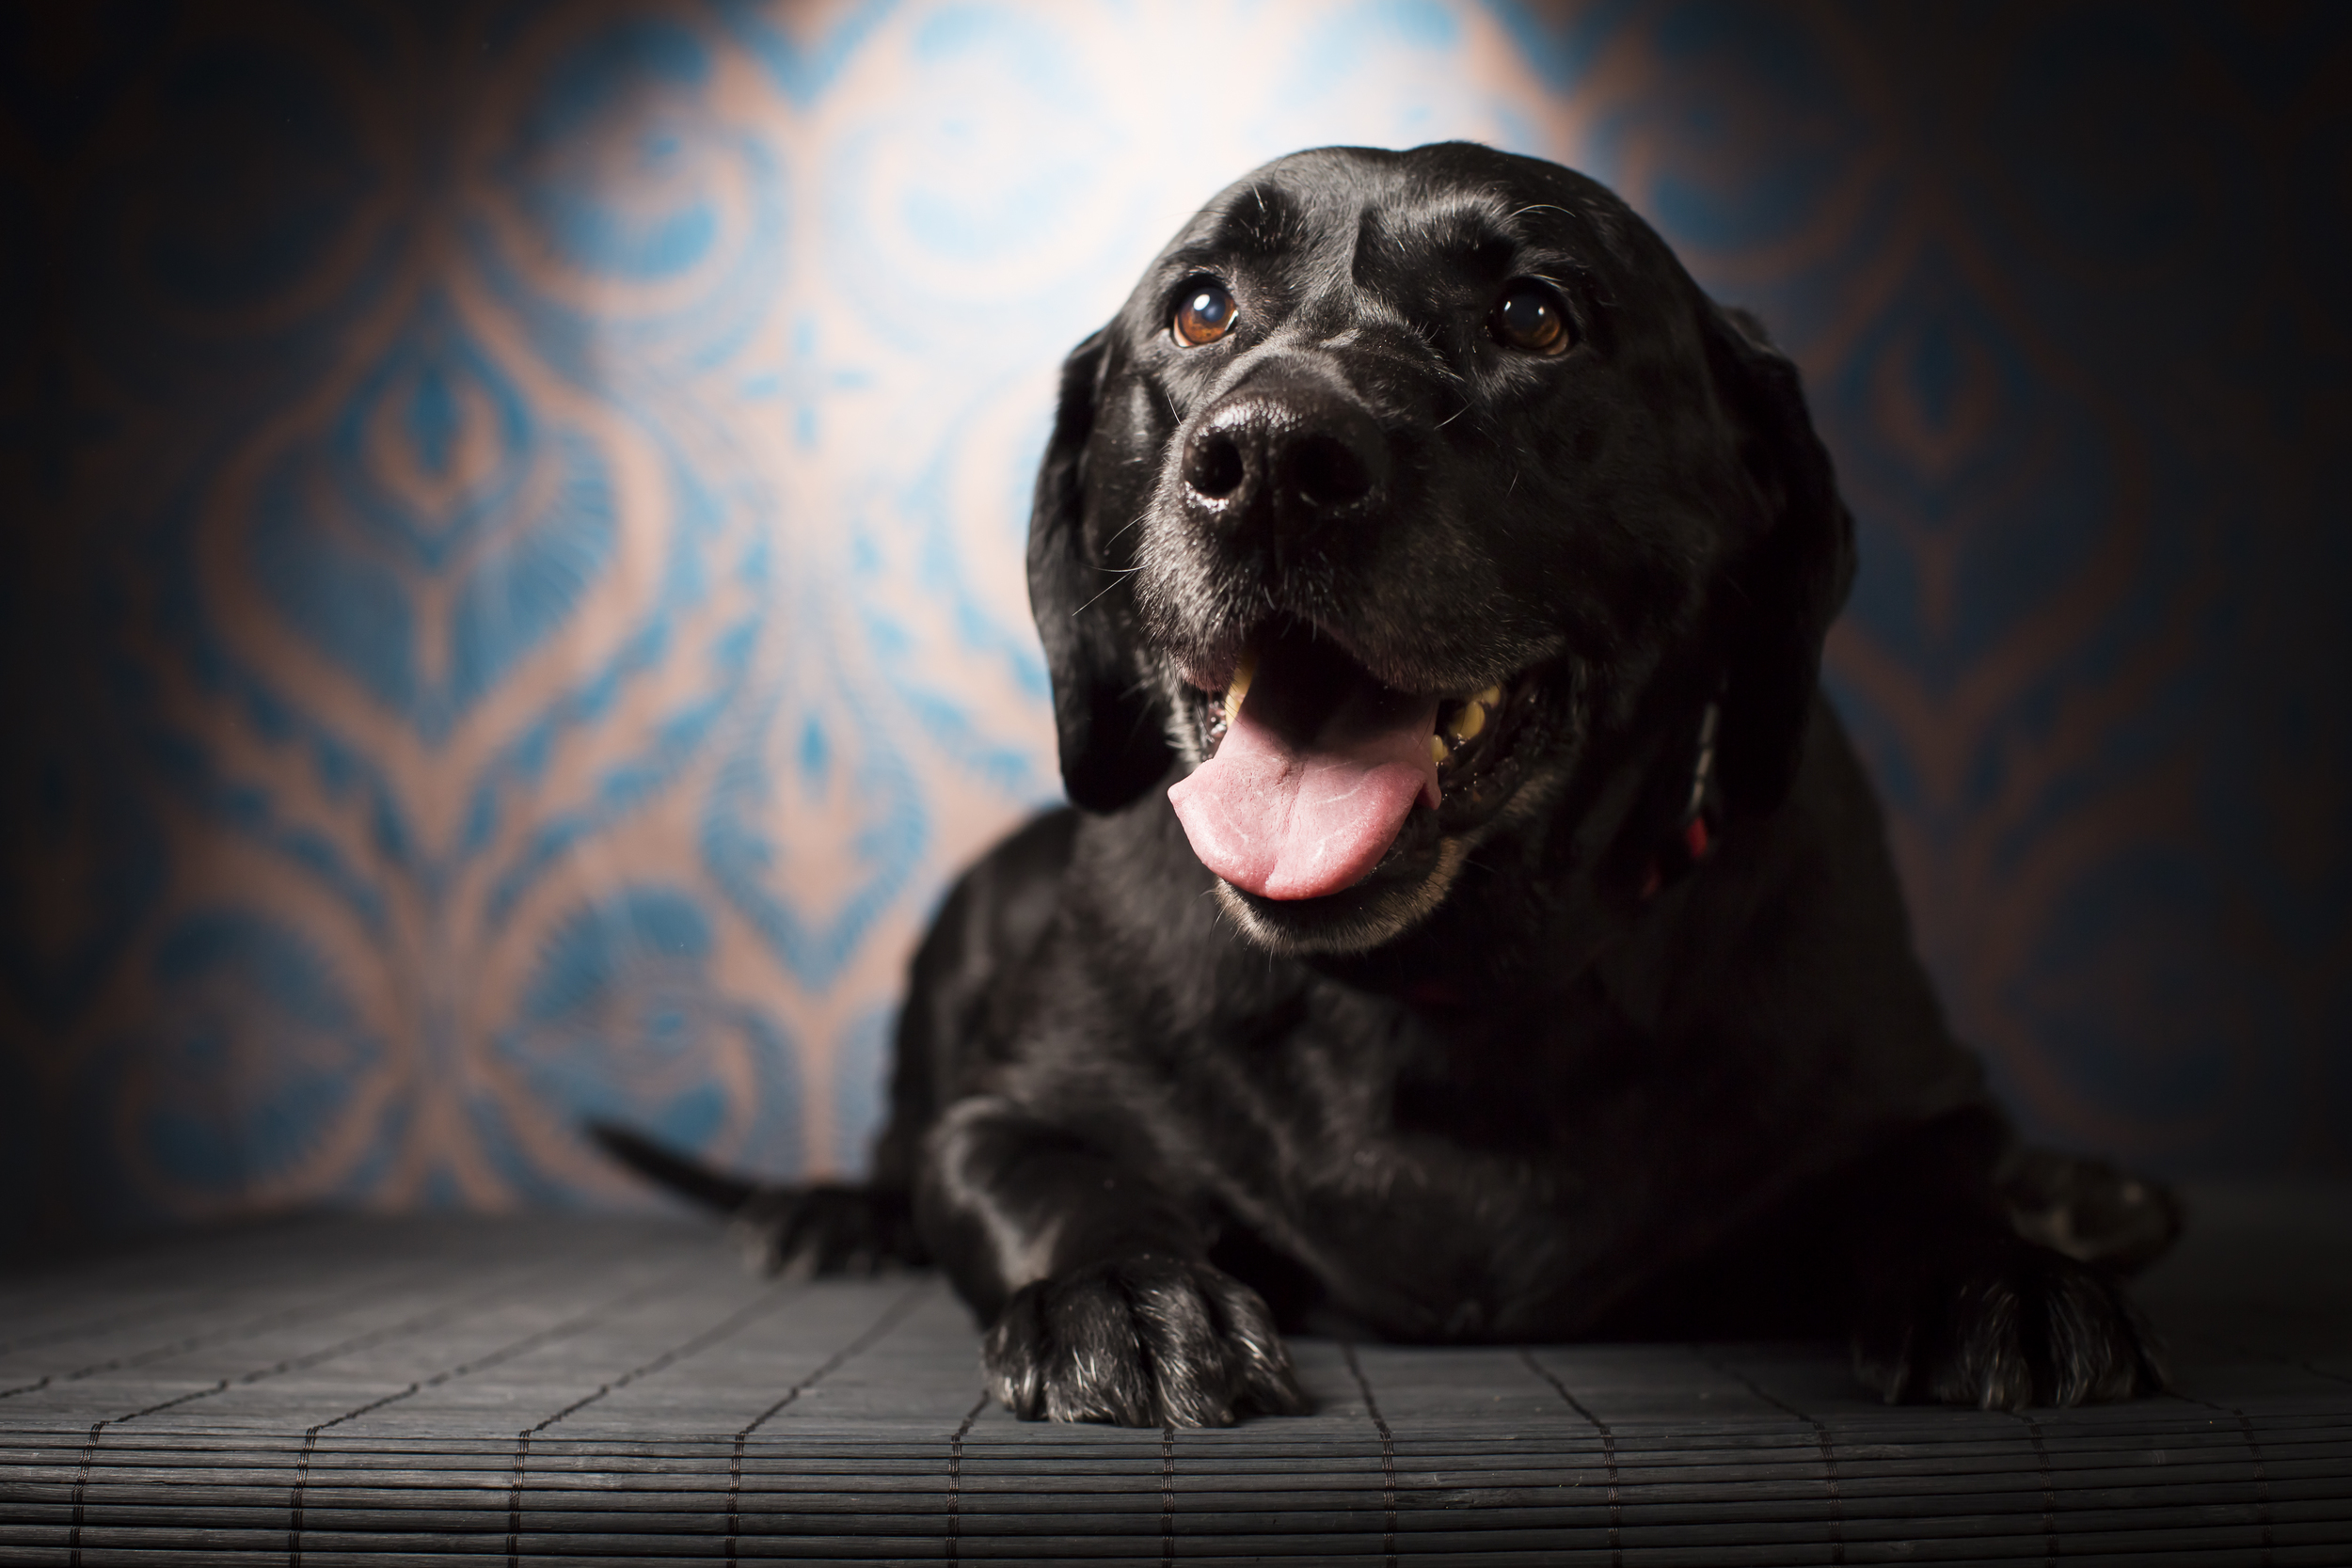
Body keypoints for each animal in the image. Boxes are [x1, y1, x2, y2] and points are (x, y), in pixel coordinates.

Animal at [602, 140, 2164, 1429]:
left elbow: (1936, 1173)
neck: (1440, 990)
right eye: (1201, 309)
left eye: (1534, 314)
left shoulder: (1912, 1087)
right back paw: (833, 1212)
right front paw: (1126, 1290)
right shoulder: (1007, 1116)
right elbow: (1053, 1178)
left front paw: (1999, 1270)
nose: (1269, 462)